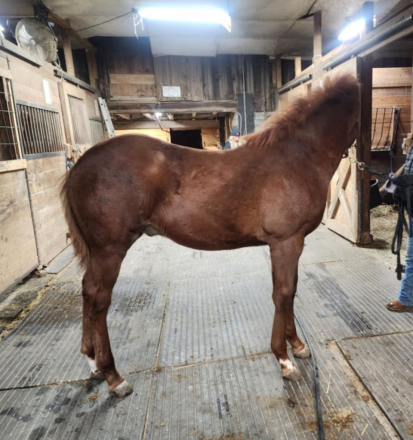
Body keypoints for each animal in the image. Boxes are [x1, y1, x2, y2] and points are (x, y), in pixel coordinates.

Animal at [62, 74, 360, 398]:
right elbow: (283, 294)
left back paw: (92, 363)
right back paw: (113, 376)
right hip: (109, 250)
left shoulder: (288, 244)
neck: (298, 156)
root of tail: (80, 165)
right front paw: (284, 359)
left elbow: (290, 291)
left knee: (87, 292)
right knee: (98, 299)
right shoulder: (286, 242)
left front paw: (297, 345)